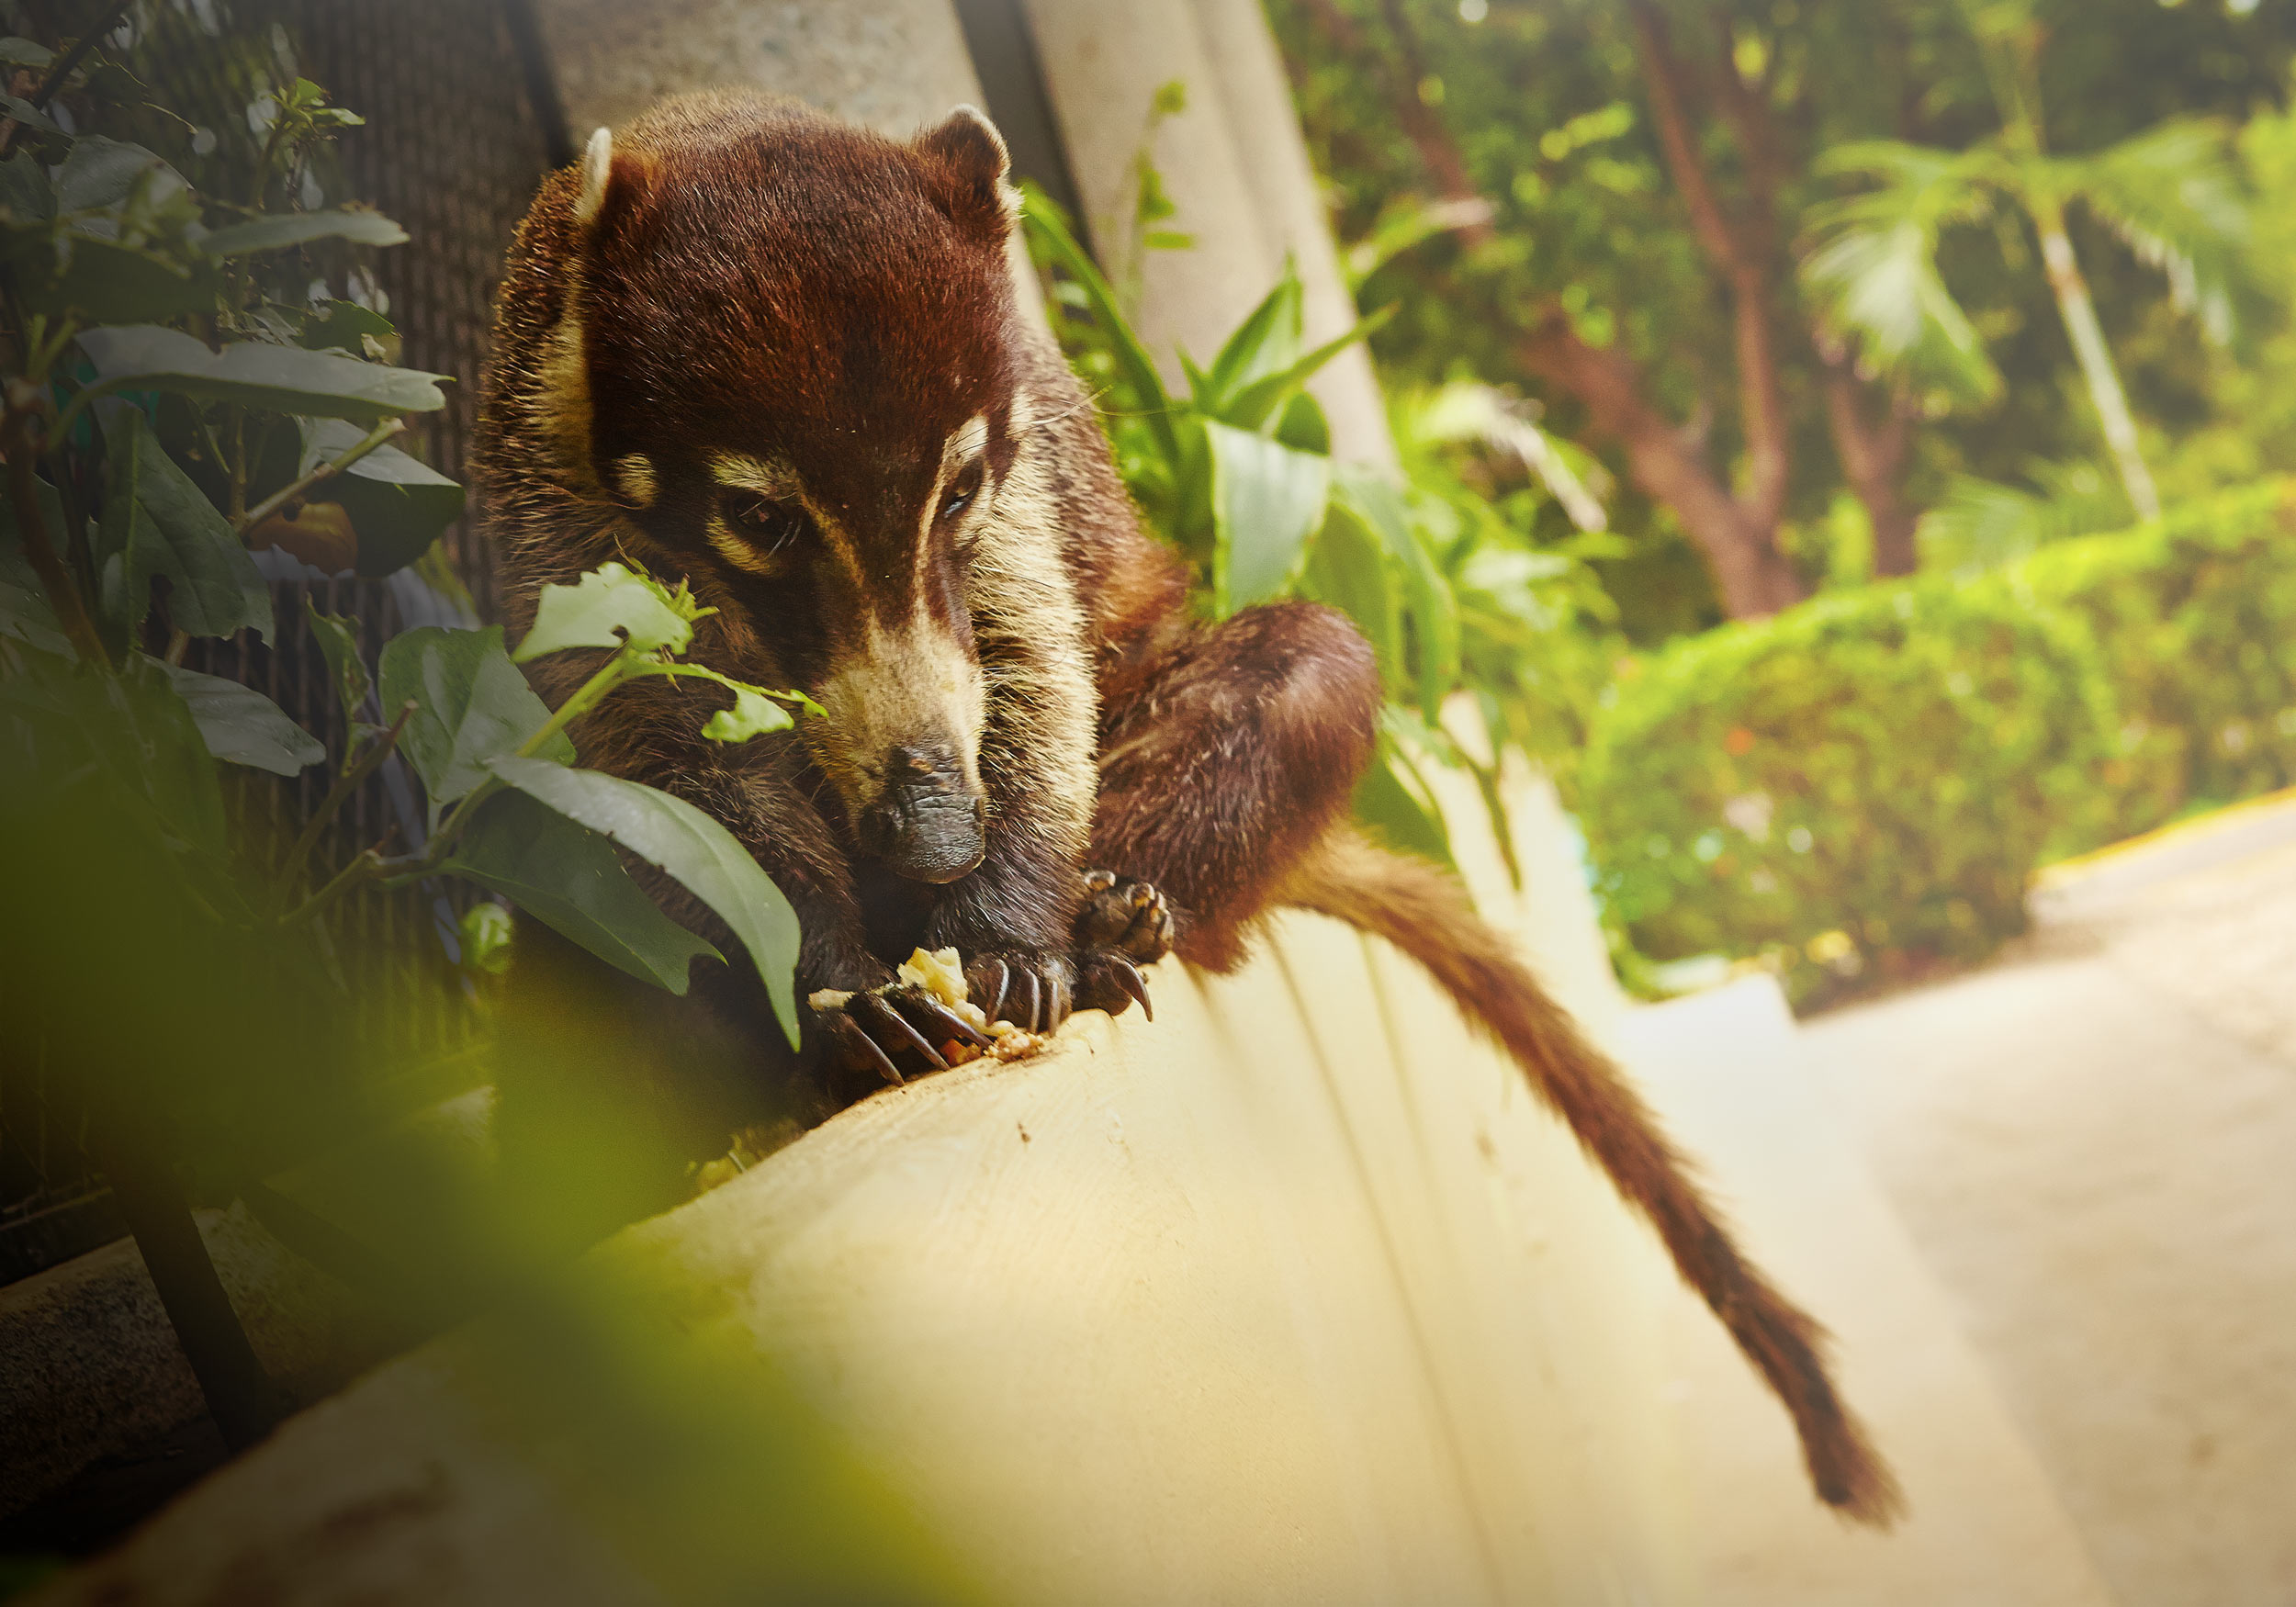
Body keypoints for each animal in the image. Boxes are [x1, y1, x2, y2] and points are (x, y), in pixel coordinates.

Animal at [473, 91, 1899, 1525]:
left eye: (957, 488)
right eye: (759, 516)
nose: (939, 841)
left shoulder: (1021, 487)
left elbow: (1033, 661)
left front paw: (1010, 924)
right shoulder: (545, 481)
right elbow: (656, 764)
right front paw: (834, 978)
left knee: (1311, 661)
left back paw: (1116, 917)